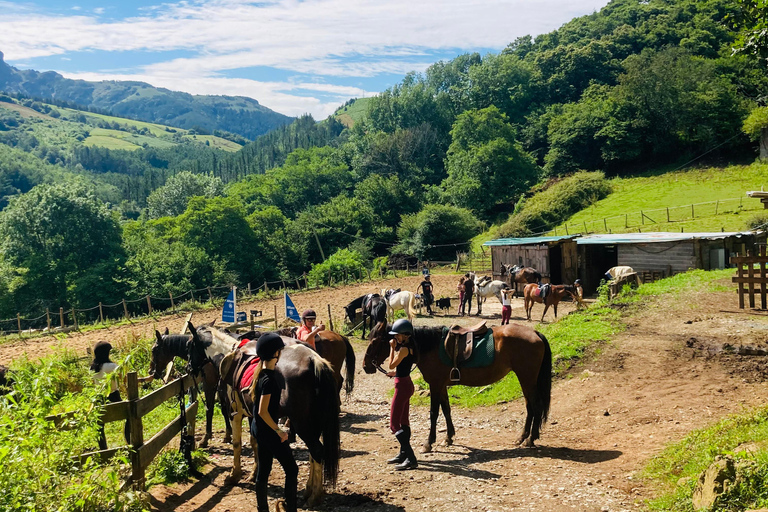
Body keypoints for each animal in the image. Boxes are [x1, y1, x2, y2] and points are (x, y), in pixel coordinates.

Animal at [186, 322, 340, 506]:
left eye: (189, 345)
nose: (188, 368)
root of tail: (314, 360)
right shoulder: (254, 417)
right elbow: (255, 444)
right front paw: (253, 473)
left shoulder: (235, 413)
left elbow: (237, 443)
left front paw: (234, 475)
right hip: (313, 421)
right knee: (313, 452)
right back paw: (309, 490)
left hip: (301, 423)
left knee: (316, 450)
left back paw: (315, 496)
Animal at [364, 322, 548, 450]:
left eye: (375, 341)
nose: (366, 366)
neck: (429, 346)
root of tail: (534, 333)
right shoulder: (441, 386)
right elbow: (446, 410)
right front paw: (449, 438)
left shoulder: (435, 385)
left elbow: (434, 413)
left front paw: (429, 443)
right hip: (525, 379)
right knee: (530, 407)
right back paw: (522, 437)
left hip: (527, 378)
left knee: (536, 406)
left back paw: (530, 439)